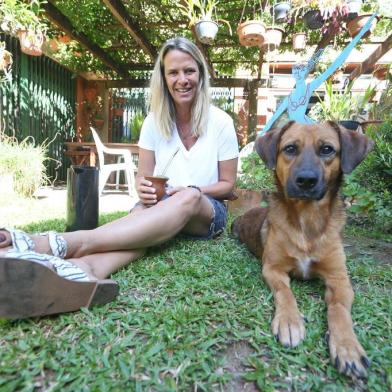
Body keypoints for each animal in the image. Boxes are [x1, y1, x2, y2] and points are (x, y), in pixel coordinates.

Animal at [233, 121, 374, 378]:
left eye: (327, 149)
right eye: (290, 148)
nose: (306, 180)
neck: (307, 219)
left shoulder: (339, 278)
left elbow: (339, 309)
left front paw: (347, 346)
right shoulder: (273, 269)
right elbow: (285, 293)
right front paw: (289, 322)